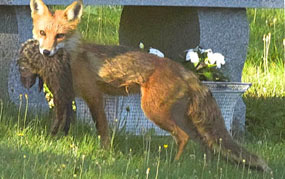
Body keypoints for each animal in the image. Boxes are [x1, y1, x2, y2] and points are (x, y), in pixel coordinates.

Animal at [27, 0, 270, 171]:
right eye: (42, 33)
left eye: (60, 35)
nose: (45, 52)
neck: (73, 57)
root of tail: (186, 71)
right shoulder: (64, 95)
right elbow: (57, 122)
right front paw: (51, 140)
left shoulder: (94, 95)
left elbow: (102, 129)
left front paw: (105, 154)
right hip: (182, 116)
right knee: (204, 142)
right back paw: (204, 167)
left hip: (154, 111)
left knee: (183, 137)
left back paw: (174, 164)